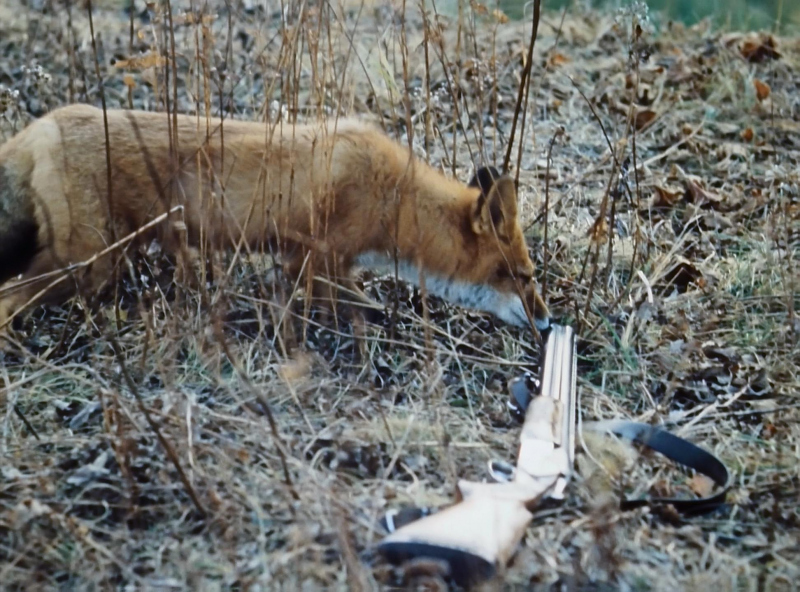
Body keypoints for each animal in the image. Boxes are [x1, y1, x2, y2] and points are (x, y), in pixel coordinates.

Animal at [0, 103, 552, 330]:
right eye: (523, 277)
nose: (549, 324)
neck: (394, 198)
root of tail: (40, 126)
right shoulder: (314, 259)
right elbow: (360, 308)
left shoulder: (314, 264)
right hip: (87, 264)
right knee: (9, 298)